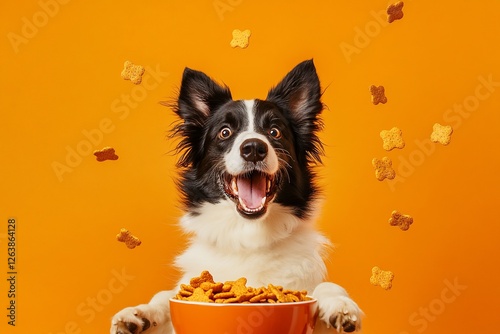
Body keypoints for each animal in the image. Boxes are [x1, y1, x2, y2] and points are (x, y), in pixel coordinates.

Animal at [109, 60, 362, 334]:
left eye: (275, 132)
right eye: (225, 132)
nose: (253, 148)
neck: (247, 236)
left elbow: (326, 288)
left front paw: (341, 306)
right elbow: (165, 296)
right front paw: (138, 313)